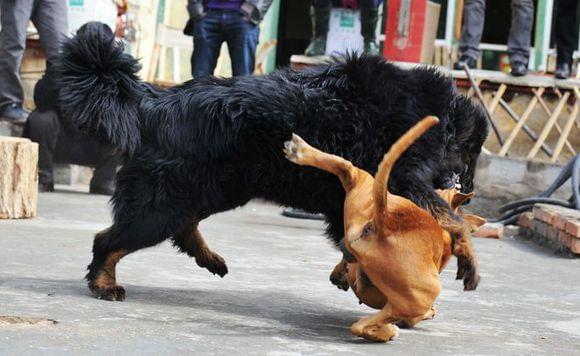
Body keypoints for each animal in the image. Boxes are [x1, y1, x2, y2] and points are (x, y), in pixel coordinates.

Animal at [56, 22, 488, 300]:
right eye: (471, 156)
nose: (465, 186)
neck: (437, 115)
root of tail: (155, 101)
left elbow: (352, 243)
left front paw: (345, 272)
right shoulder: (402, 181)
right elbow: (454, 221)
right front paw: (468, 260)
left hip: (210, 189)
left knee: (180, 226)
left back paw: (208, 258)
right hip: (166, 202)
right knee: (108, 239)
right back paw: (103, 283)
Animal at [284, 117, 484, 342]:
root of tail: (384, 221)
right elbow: (426, 314)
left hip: (364, 185)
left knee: (347, 168)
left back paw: (300, 151)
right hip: (423, 295)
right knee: (361, 326)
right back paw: (387, 331)